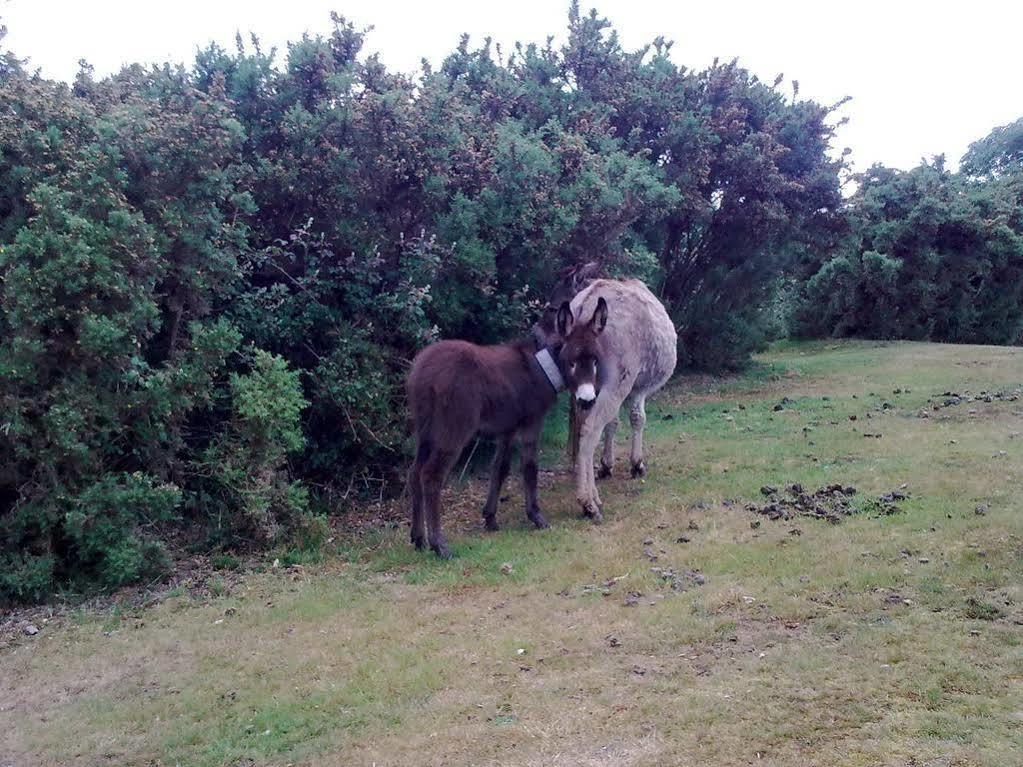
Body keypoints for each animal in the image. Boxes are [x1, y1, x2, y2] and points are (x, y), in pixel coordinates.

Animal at [403, 300, 601, 560]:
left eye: (595, 360)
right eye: (573, 361)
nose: (587, 401)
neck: (541, 366)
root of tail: (423, 370)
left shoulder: (507, 430)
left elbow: (500, 468)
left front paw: (490, 518)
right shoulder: (531, 424)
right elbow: (529, 467)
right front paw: (537, 517)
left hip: (425, 432)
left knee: (414, 473)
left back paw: (418, 539)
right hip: (453, 431)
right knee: (431, 475)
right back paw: (439, 545)